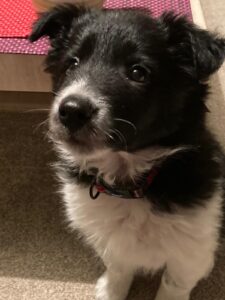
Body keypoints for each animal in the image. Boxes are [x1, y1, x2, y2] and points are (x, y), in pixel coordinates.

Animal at [30, 5, 225, 300]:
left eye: (138, 72)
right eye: (72, 63)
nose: (72, 111)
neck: (130, 183)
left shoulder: (193, 249)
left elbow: (174, 283)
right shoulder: (110, 239)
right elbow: (119, 265)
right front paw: (111, 290)